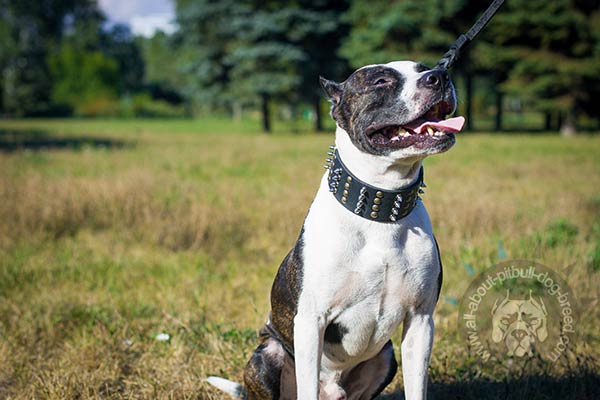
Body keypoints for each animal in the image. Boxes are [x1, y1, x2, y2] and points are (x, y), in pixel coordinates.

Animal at [209, 60, 466, 400]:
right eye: (380, 81)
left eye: (424, 67)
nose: (440, 76)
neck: (380, 210)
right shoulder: (310, 321)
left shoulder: (420, 321)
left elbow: (417, 388)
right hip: (268, 356)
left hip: (386, 356)